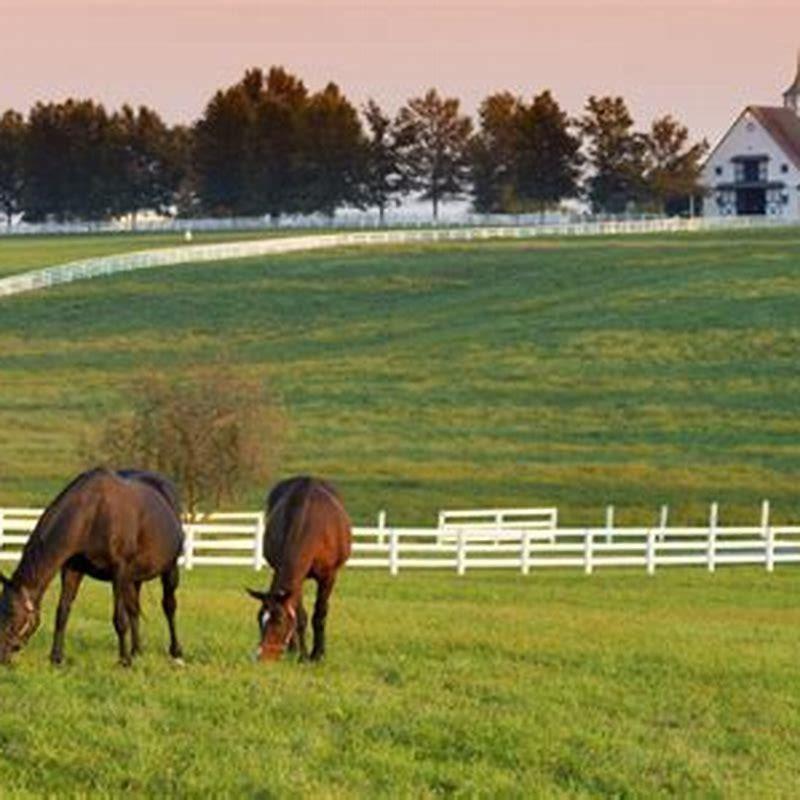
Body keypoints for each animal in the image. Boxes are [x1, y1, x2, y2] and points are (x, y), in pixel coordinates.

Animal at [0, 467, 184, 666]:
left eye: (13, 616)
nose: (2, 657)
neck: (92, 514)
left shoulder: (118, 573)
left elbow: (120, 619)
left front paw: (124, 661)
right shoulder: (72, 570)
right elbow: (62, 612)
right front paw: (56, 657)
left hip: (170, 569)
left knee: (169, 606)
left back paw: (176, 652)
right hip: (134, 578)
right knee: (134, 609)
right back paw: (136, 651)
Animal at [247, 476, 351, 662]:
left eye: (279, 621)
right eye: (260, 619)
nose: (261, 656)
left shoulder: (328, 576)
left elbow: (320, 613)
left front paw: (317, 655)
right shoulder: (296, 578)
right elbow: (299, 616)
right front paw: (301, 654)